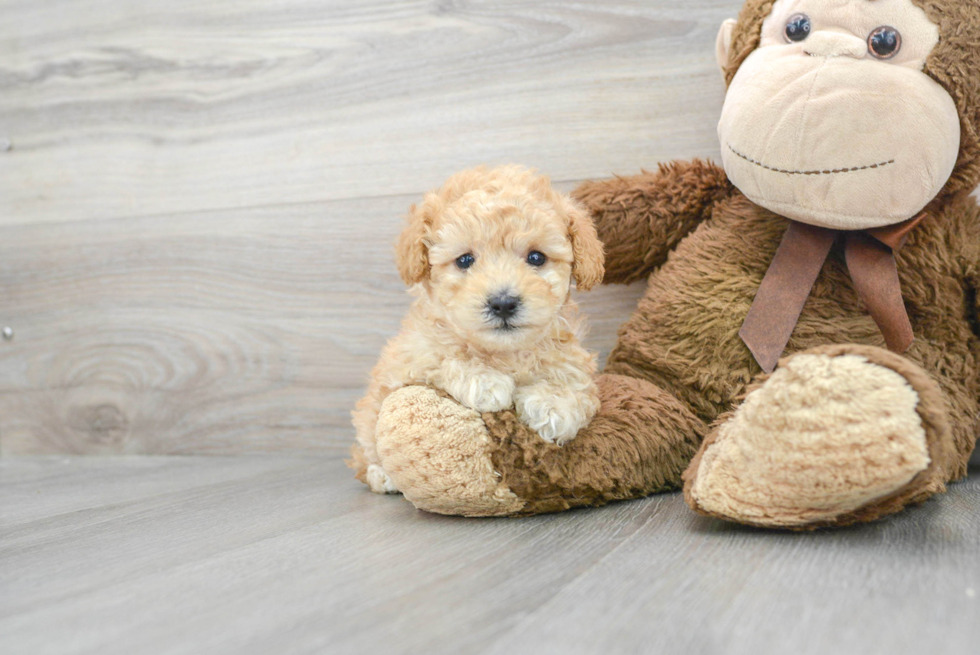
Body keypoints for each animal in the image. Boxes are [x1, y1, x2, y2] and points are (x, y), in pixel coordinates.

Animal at [352, 164, 604, 492]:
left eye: (536, 257)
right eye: (465, 260)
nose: (503, 303)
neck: (504, 352)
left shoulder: (572, 359)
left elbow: (575, 385)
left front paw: (553, 406)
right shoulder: (412, 357)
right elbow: (444, 356)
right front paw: (485, 381)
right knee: (366, 453)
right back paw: (381, 475)